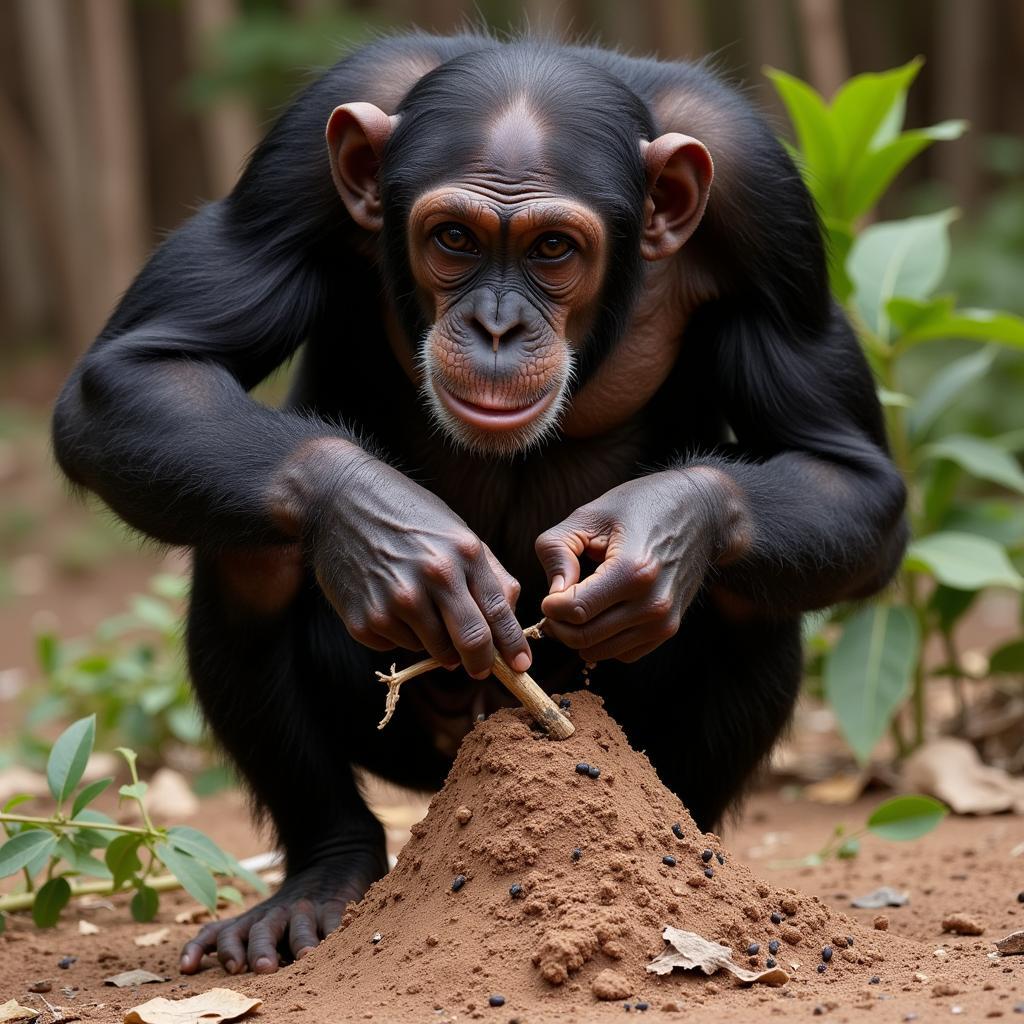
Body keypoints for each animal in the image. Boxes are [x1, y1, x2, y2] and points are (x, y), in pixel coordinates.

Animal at [51, 32, 909, 974]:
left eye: (553, 250)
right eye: (455, 239)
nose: (497, 325)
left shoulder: (767, 212)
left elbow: (846, 469)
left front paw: (660, 539)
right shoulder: (292, 167)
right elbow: (140, 369)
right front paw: (391, 536)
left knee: (751, 584)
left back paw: (687, 850)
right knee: (256, 545)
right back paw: (322, 877)